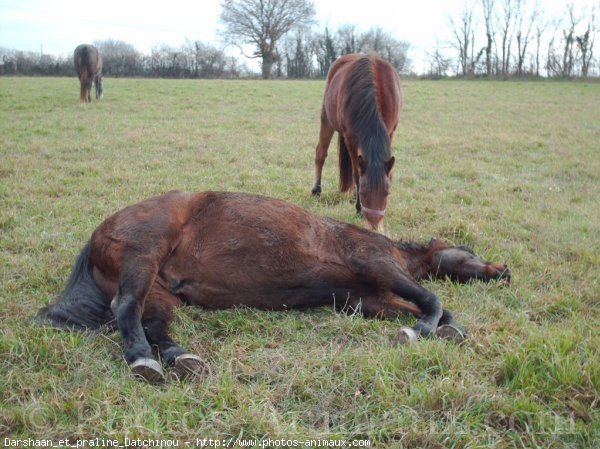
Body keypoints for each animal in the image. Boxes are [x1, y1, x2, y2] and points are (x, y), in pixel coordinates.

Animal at [35, 189, 508, 382]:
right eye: (470, 253)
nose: (503, 271)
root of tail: (99, 232)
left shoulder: (370, 300)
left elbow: (429, 307)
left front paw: (443, 329)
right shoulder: (378, 266)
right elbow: (432, 300)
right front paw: (420, 332)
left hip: (162, 292)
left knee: (153, 324)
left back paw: (180, 358)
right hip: (144, 257)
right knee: (125, 307)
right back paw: (141, 361)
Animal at [310, 53, 404, 231]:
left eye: (387, 192)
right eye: (364, 193)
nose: (374, 226)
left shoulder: (391, 132)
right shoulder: (351, 138)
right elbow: (356, 174)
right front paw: (359, 207)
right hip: (326, 119)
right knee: (321, 153)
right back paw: (316, 190)